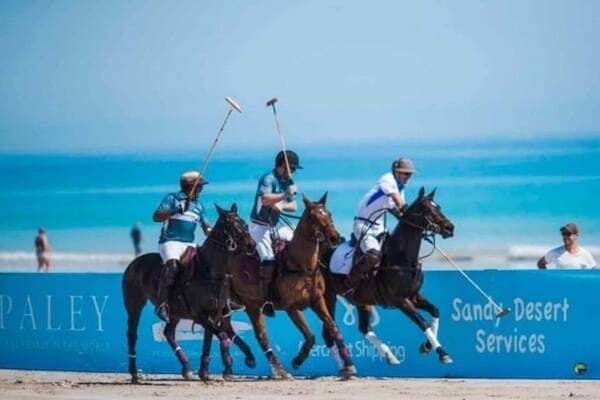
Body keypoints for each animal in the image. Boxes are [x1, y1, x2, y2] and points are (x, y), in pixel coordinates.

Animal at [122, 205, 255, 382]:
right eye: (231, 225)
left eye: (244, 223)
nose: (252, 245)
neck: (209, 271)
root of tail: (134, 263)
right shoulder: (200, 315)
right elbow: (222, 336)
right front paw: (225, 368)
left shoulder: (216, 313)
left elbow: (212, 338)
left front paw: (208, 371)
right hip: (134, 305)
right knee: (132, 335)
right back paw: (134, 373)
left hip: (174, 313)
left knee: (169, 333)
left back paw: (186, 368)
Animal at [199, 192, 356, 380]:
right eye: (313, 217)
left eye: (329, 214)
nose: (334, 238)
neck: (302, 266)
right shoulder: (291, 307)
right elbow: (310, 336)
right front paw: (297, 361)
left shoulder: (317, 300)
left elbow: (332, 327)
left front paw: (349, 367)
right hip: (250, 304)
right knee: (258, 335)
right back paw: (279, 371)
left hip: (231, 304)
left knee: (226, 328)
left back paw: (235, 366)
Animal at [324, 189, 454, 368]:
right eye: (428, 210)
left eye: (439, 207)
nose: (450, 228)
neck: (401, 258)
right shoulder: (400, 300)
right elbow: (421, 321)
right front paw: (442, 353)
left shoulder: (413, 296)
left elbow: (435, 310)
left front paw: (427, 346)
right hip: (328, 297)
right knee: (329, 332)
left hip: (362, 301)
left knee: (364, 328)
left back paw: (390, 356)